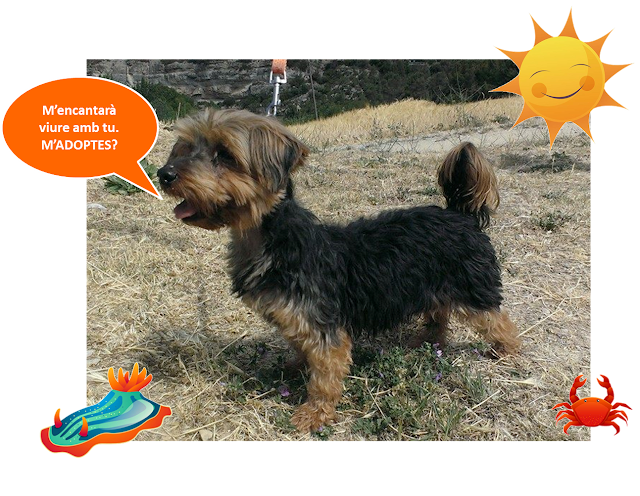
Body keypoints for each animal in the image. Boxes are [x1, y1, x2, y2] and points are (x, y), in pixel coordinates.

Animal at [157, 109, 521, 432]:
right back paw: (428, 340)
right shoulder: (296, 318)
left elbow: (325, 376)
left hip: (474, 287)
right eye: (185, 147)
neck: (269, 238)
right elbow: (299, 348)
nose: (164, 174)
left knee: (498, 320)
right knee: (439, 312)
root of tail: (460, 214)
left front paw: (314, 413)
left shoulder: (324, 328)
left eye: (224, 154)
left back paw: (505, 350)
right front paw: (293, 368)